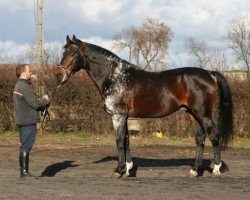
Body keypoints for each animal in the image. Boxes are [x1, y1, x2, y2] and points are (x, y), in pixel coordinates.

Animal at [53, 34, 233, 178]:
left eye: (73, 53)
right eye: (64, 52)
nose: (58, 75)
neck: (115, 76)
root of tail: (209, 73)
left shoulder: (118, 115)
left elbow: (119, 140)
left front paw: (118, 170)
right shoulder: (124, 116)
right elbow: (127, 140)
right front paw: (127, 169)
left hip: (203, 113)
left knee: (213, 135)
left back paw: (216, 169)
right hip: (191, 114)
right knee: (200, 138)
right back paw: (195, 170)